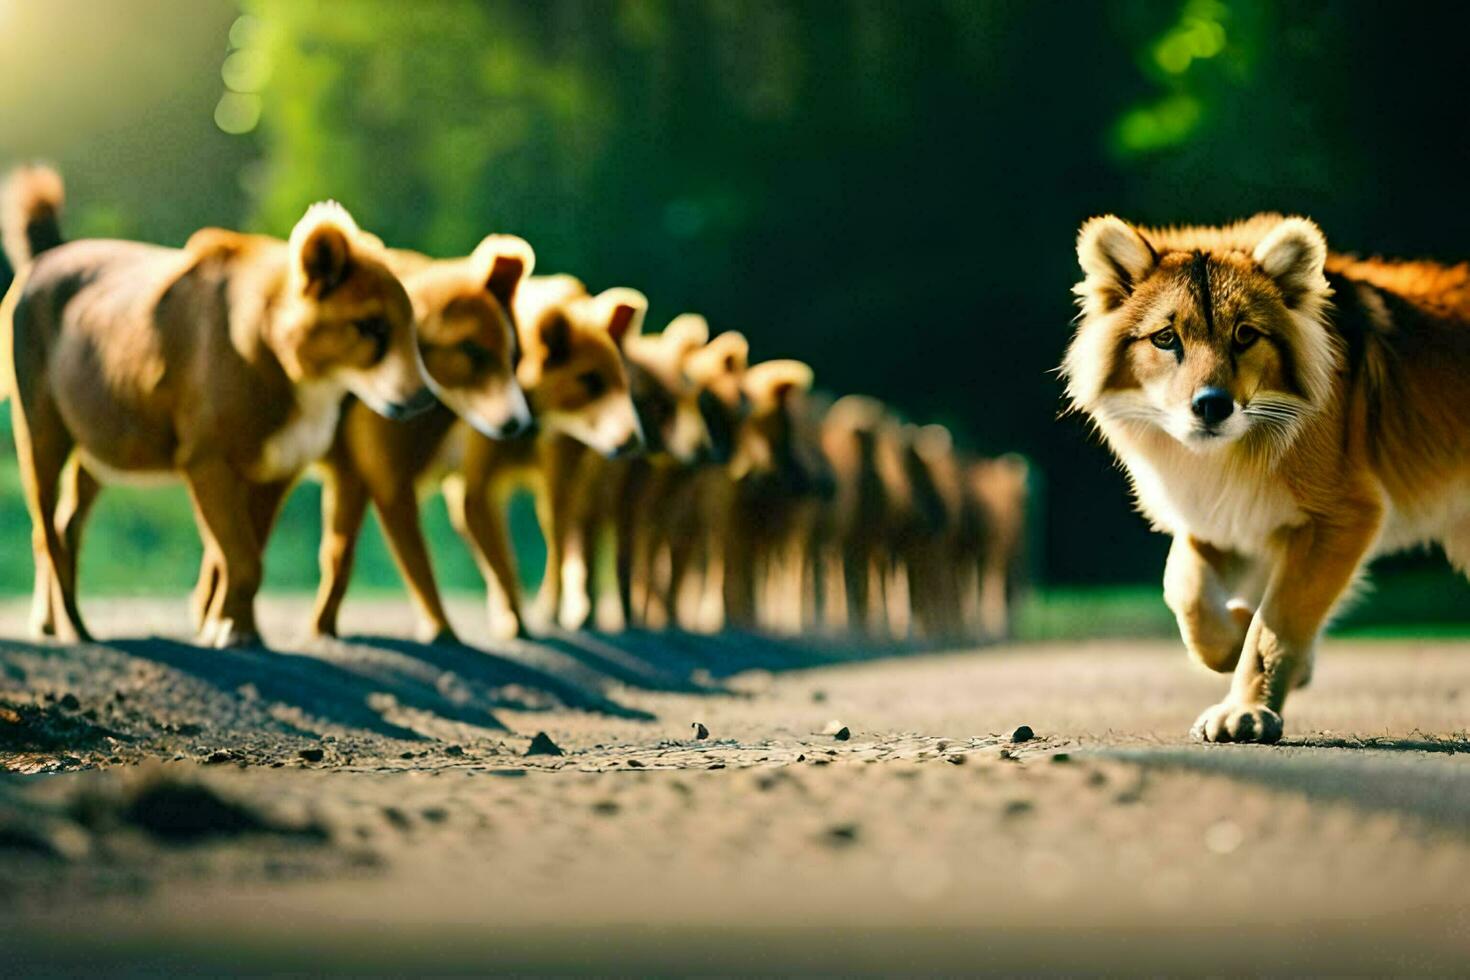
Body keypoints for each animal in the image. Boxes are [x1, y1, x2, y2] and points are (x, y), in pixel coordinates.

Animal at [4, 164, 429, 646]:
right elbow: (242, 560)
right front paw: (232, 631)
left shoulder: (276, 468)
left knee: (65, 528)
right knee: (47, 533)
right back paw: (75, 627)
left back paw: (52, 621)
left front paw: (233, 625)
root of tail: (48, 255)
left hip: (102, 445)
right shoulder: (207, 461)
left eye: (410, 327)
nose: (423, 398)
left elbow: (242, 557)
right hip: (41, 430)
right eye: (372, 326)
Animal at [1064, 214, 1470, 743]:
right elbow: (1186, 594)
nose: (1212, 406)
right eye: (1165, 338)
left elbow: (1274, 626)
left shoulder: (1343, 518)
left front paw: (1248, 710)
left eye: (1244, 335)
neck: (1234, 453)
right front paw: (1239, 636)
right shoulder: (1223, 519)